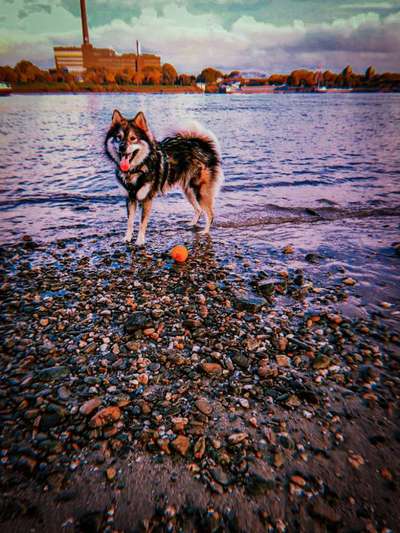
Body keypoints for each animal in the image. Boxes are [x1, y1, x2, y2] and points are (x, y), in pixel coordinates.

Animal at [104, 110, 223, 247]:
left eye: (133, 138)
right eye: (118, 137)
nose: (122, 147)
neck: (137, 168)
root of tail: (201, 145)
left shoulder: (146, 199)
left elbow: (142, 223)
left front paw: (140, 241)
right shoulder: (130, 198)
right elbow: (129, 222)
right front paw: (127, 238)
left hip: (200, 192)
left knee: (210, 214)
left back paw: (205, 232)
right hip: (188, 191)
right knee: (198, 210)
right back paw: (192, 224)